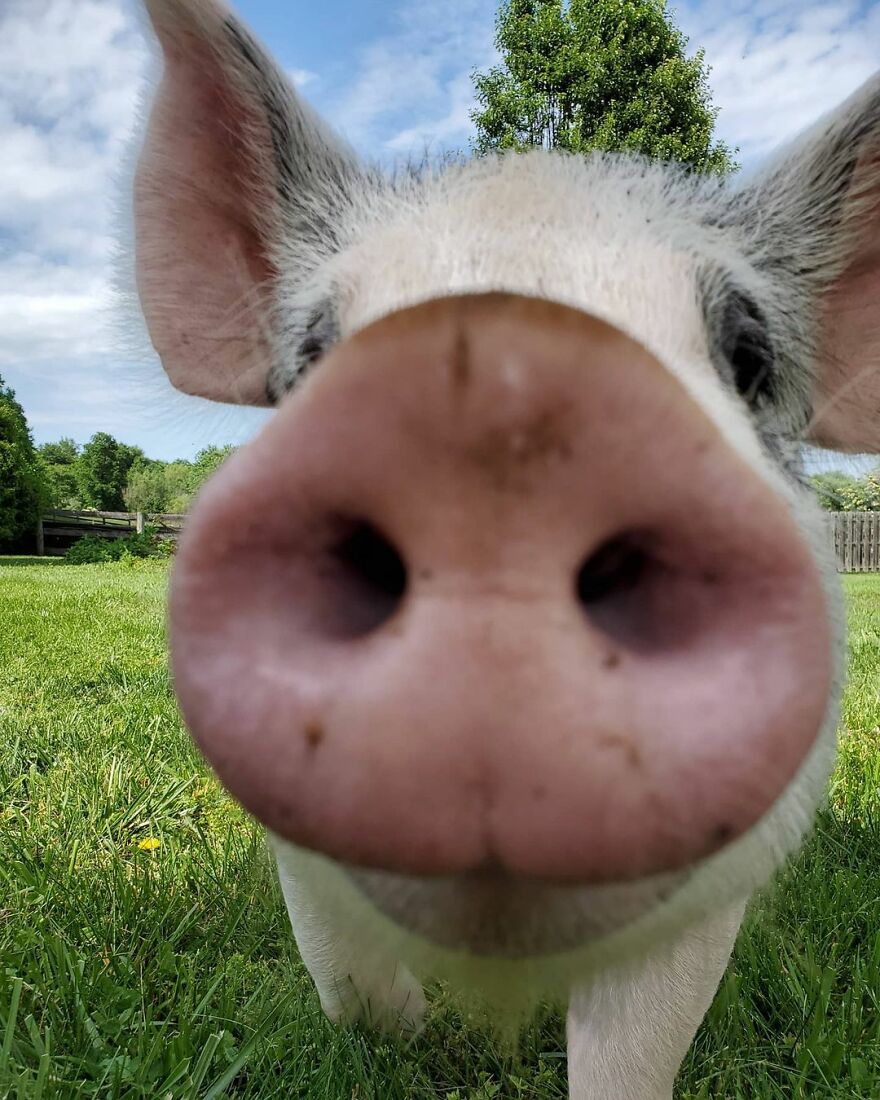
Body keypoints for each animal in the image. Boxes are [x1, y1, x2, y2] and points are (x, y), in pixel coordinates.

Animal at [132, 1, 880, 1096]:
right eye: (310, 353)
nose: (495, 384)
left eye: (748, 358)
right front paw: (398, 1033)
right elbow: (346, 981)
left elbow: (629, 1049)